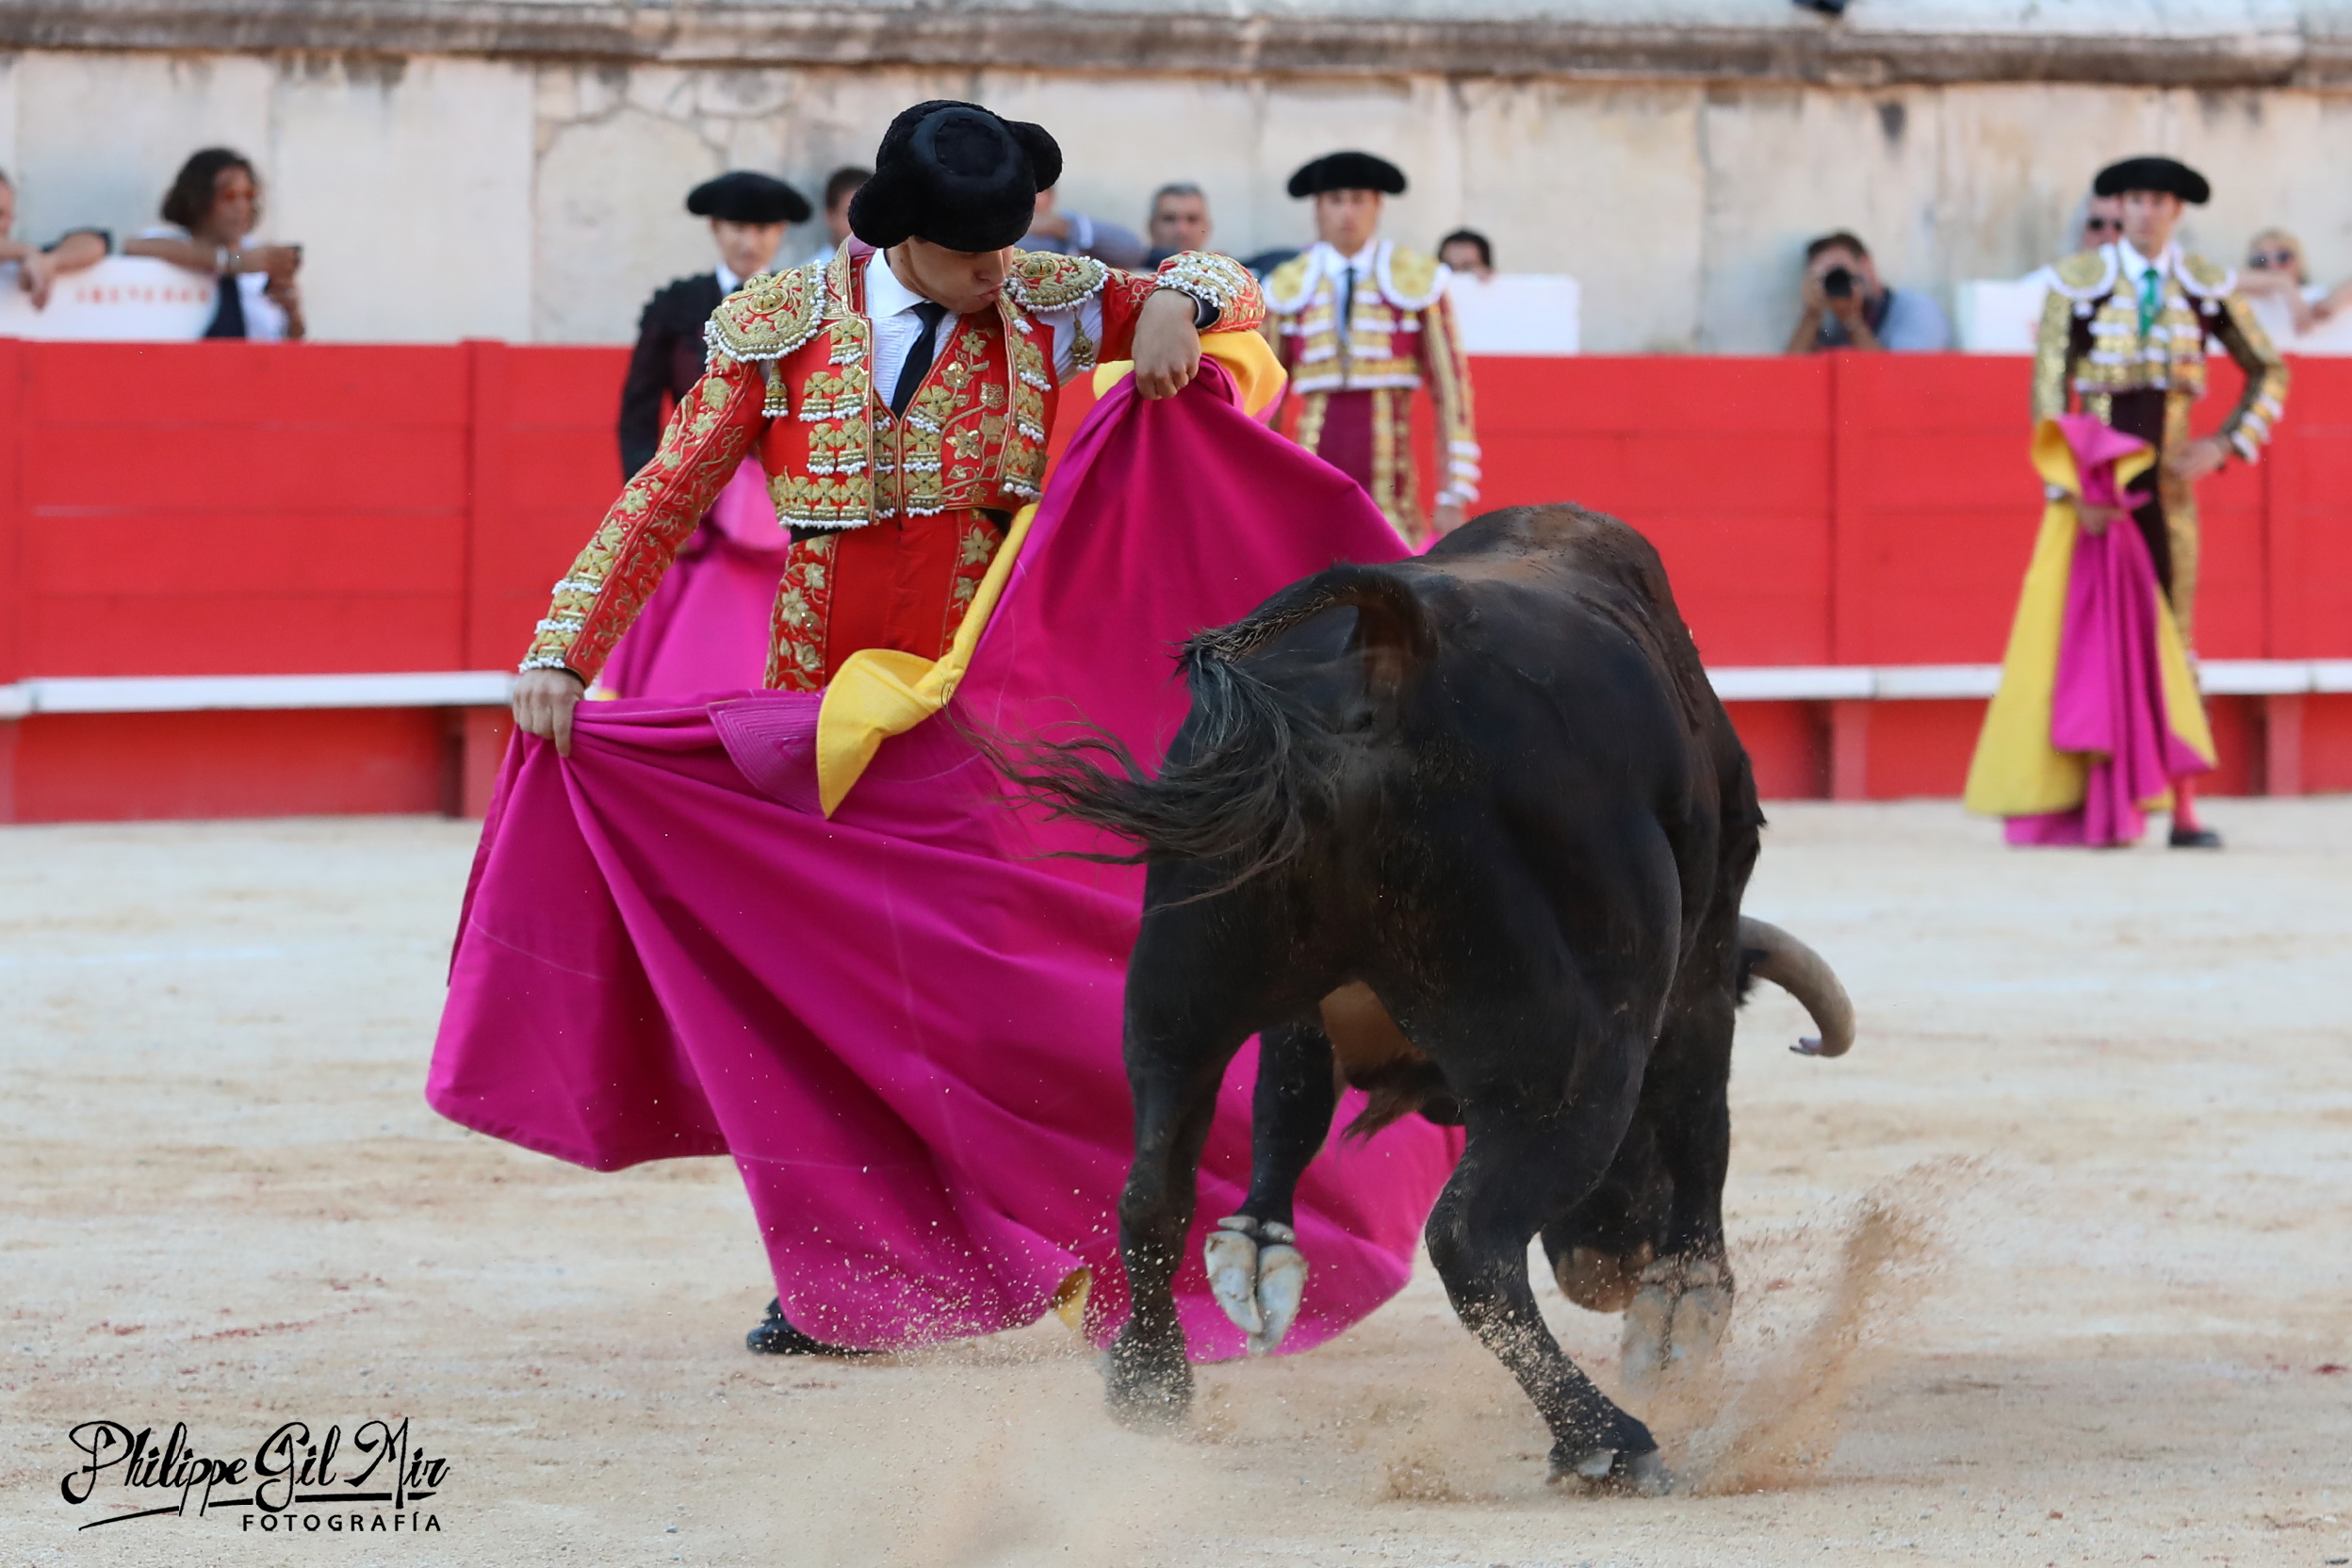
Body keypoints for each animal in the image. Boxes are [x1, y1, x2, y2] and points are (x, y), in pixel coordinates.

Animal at [1011, 510, 1853, 1494]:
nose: (1609, 1267)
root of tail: (1393, 647)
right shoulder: (1704, 950)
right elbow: (1700, 1106)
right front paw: (1684, 1303)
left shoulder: (1299, 1010)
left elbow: (1288, 1095)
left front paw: (1259, 1246)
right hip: (1573, 1063)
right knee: (1471, 1241)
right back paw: (1607, 1439)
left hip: (1176, 993)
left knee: (1153, 1183)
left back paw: (1150, 1386)